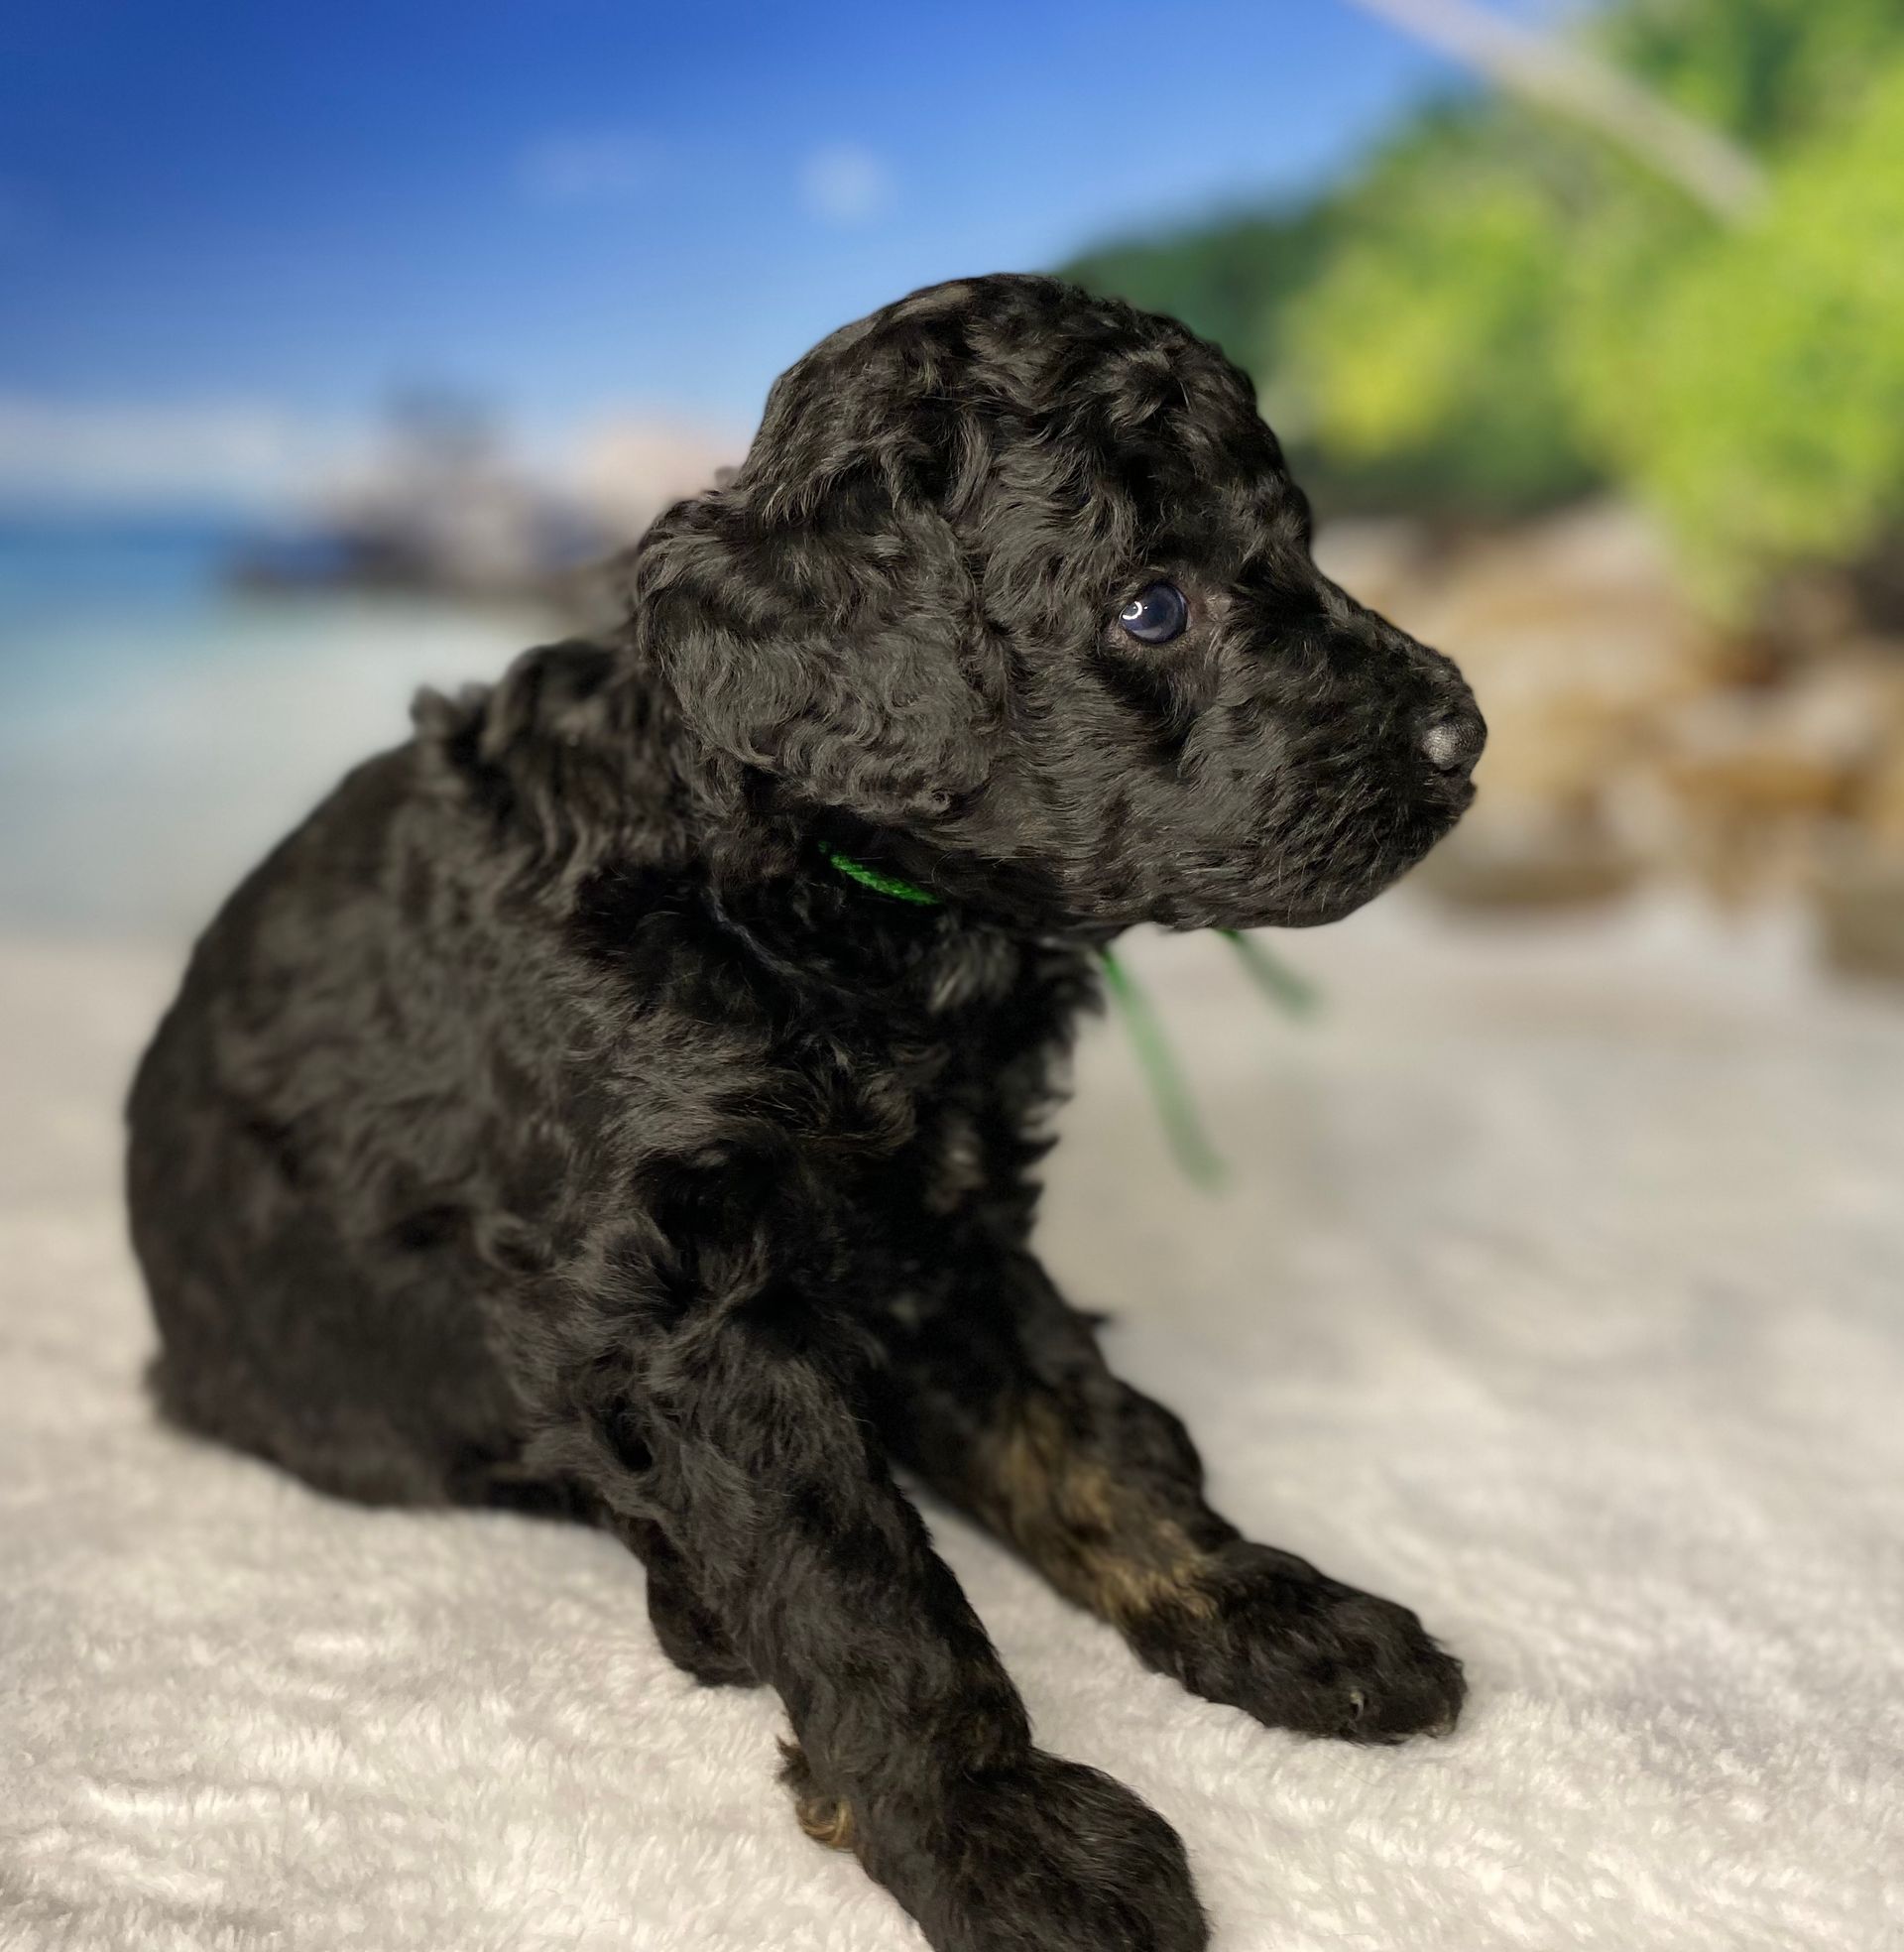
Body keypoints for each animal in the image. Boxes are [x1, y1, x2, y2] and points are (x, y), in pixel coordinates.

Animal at [129, 279, 1489, 1952]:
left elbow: (1085, 1439)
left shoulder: (946, 1236)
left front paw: (1266, 1610)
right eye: (1152, 608)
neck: (825, 902)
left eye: (1301, 542)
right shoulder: (697, 1309)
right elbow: (860, 1581)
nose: (1465, 735)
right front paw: (994, 1833)